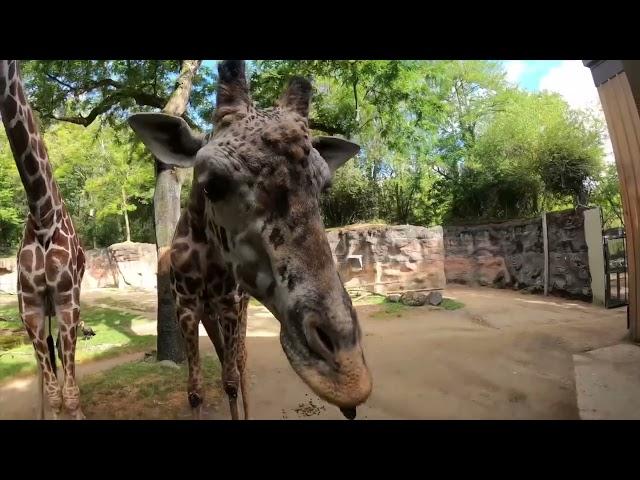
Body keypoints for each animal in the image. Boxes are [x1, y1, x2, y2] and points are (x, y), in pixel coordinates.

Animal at [127, 61, 372, 420]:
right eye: (212, 184)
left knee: (240, 364)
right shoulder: (187, 306)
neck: (205, 256)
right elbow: (195, 390)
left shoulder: (231, 303)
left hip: (236, 307)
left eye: (323, 188)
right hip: (210, 313)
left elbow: (231, 378)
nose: (348, 375)